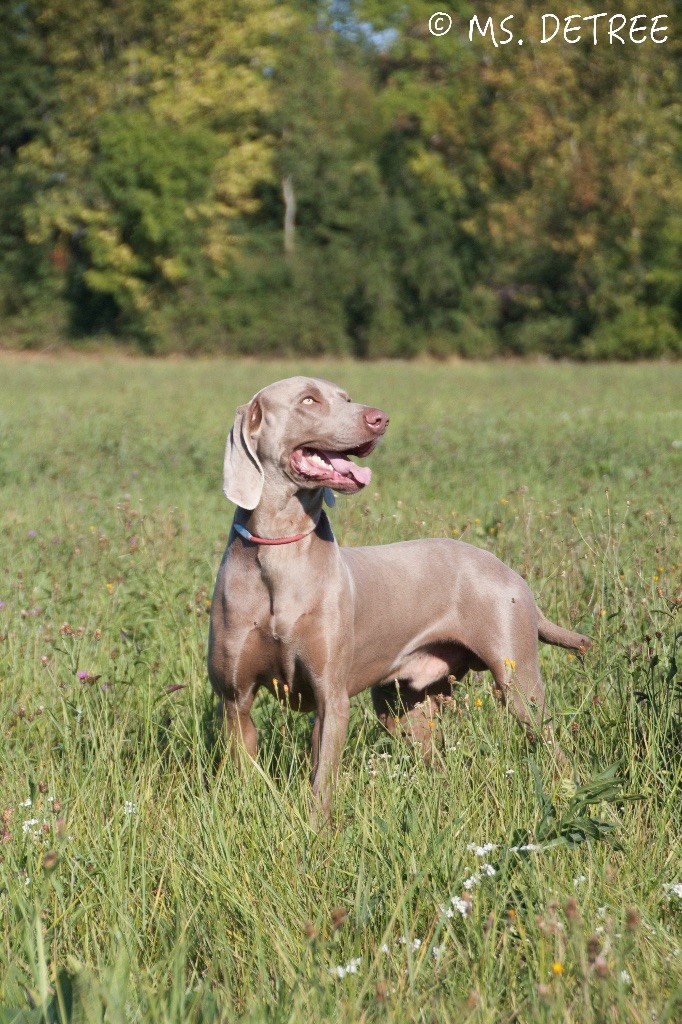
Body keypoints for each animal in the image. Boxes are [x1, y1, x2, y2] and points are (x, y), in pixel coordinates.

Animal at [206, 374, 589, 815]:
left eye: (346, 397)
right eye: (309, 400)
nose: (380, 418)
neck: (278, 550)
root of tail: (511, 572)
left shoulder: (331, 698)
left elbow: (322, 783)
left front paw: (314, 827)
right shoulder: (235, 699)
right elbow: (244, 770)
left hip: (518, 682)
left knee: (551, 744)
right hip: (401, 705)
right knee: (435, 758)